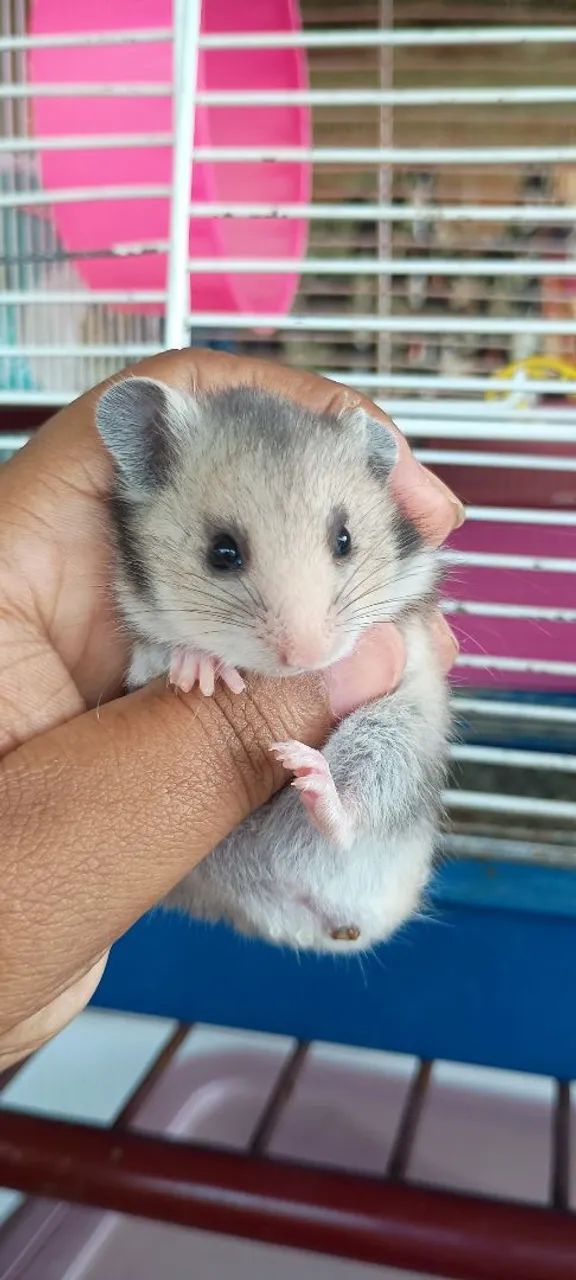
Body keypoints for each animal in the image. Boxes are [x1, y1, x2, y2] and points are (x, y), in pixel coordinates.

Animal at [96, 376, 450, 954]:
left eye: (344, 539)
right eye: (222, 552)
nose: (308, 658)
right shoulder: (136, 648)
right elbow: (156, 658)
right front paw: (200, 671)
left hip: (396, 737)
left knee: (352, 815)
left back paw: (310, 777)